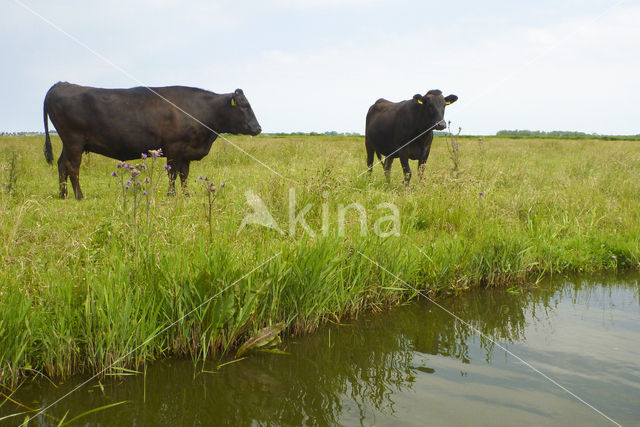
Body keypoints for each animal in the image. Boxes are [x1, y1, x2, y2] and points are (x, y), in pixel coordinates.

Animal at [43, 83, 262, 200]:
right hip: (74, 141)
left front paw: (186, 195)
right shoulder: (174, 148)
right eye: (244, 106)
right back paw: (79, 195)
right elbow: (173, 174)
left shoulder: (186, 152)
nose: (258, 128)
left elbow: (184, 175)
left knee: (62, 164)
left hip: (68, 143)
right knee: (72, 167)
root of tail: (61, 84)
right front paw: (171, 195)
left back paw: (63, 194)